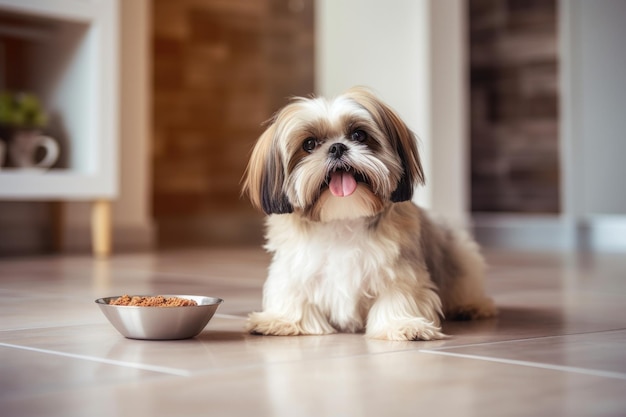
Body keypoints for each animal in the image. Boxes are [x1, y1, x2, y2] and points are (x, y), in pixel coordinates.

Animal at [241, 86, 494, 340]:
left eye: (359, 135)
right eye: (309, 144)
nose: (337, 147)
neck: (342, 219)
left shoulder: (398, 270)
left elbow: (398, 297)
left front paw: (402, 324)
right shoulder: (294, 268)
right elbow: (293, 293)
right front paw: (282, 320)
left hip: (460, 257)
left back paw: (470, 306)